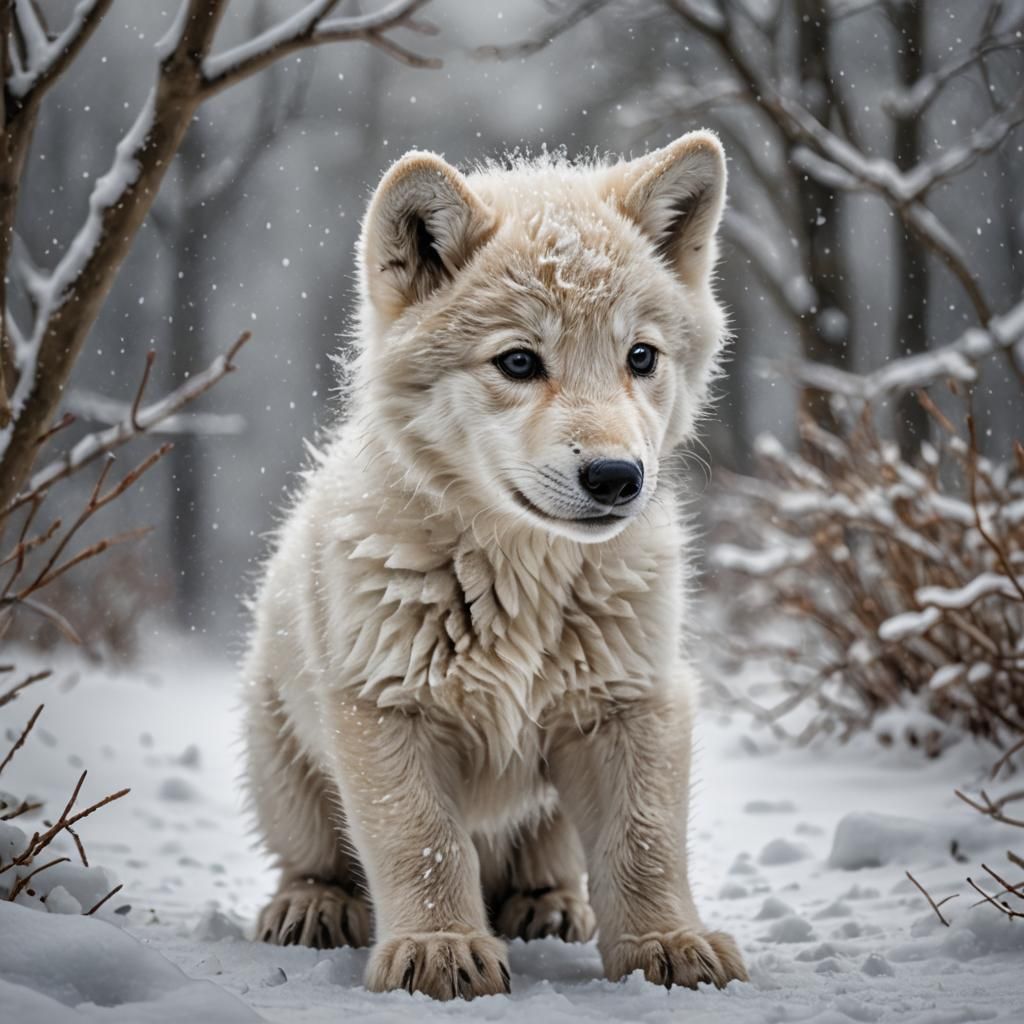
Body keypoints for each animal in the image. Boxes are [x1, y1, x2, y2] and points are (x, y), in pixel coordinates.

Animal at [241, 131, 747, 1000]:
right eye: (518, 362)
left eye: (640, 356)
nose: (617, 477)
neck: (520, 577)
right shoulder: (384, 709)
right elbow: (424, 841)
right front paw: (440, 948)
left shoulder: (636, 701)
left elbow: (645, 841)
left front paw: (667, 943)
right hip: (278, 747)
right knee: (315, 858)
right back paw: (313, 905)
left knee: (548, 862)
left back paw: (549, 905)